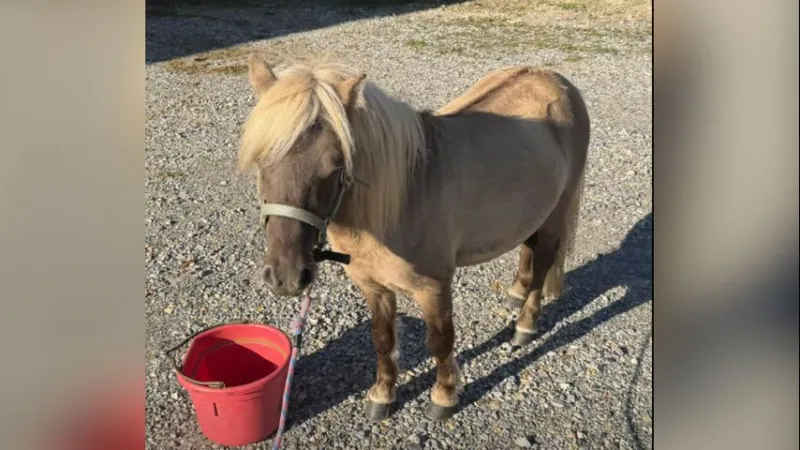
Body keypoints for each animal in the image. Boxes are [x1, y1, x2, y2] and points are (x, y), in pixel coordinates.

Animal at [238, 54, 590, 422]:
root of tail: (555, 79)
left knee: (544, 261)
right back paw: (515, 293)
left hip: (556, 213)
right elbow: (382, 338)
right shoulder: (373, 286)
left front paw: (444, 396)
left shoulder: (434, 287)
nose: (286, 277)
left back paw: (525, 324)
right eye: (261, 160)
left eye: (335, 165)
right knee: (527, 247)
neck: (401, 200)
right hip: (531, 210)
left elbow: (440, 340)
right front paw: (382, 396)